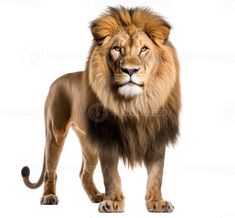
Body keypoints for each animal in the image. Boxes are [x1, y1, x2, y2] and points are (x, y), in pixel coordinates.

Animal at [21, 6, 181, 213]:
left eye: (144, 49)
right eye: (117, 49)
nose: (130, 70)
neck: (134, 104)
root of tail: (56, 81)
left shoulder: (156, 136)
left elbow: (156, 175)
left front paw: (157, 202)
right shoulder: (107, 139)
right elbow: (111, 175)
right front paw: (113, 202)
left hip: (88, 144)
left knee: (84, 173)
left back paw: (97, 196)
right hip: (55, 134)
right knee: (51, 170)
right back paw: (49, 197)